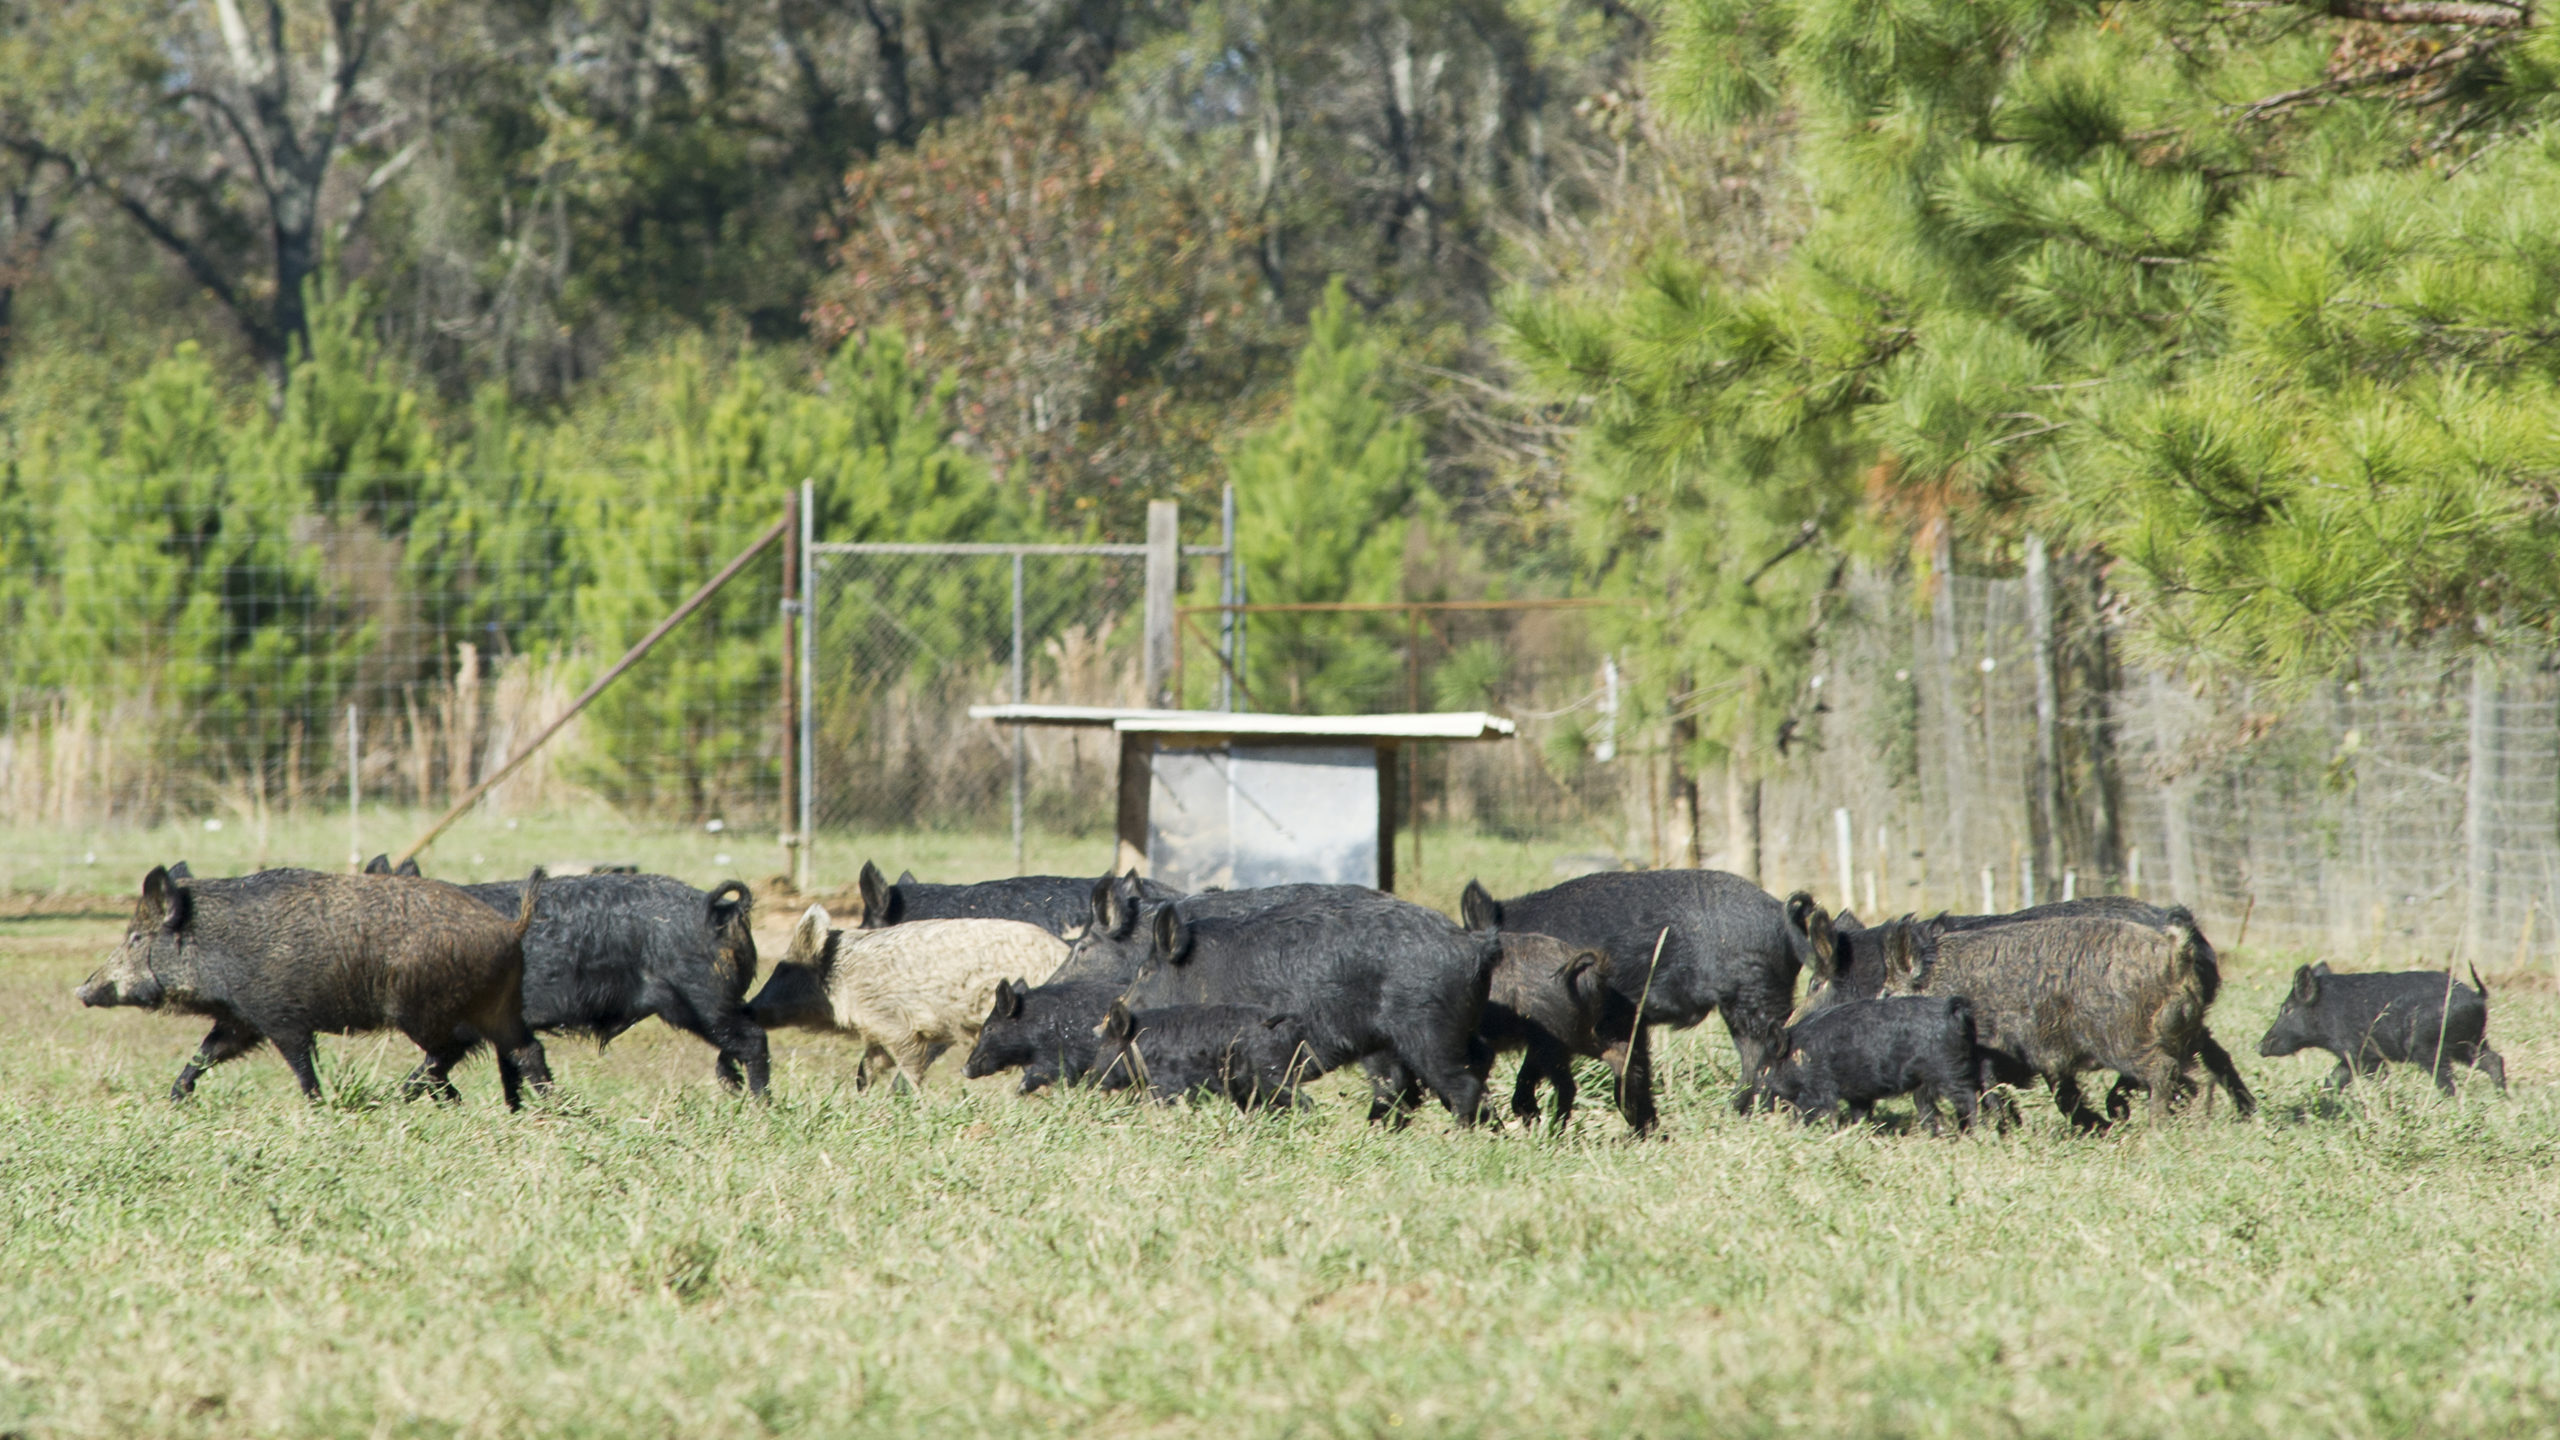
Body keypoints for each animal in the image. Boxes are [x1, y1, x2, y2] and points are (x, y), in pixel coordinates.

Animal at [75, 865, 555, 1109]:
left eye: (137, 937)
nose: (82, 991)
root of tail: (509, 928)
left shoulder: (282, 1018)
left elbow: (301, 1066)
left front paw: (316, 1105)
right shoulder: (242, 1019)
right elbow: (206, 1052)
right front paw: (176, 1098)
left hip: (422, 1010)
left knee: (456, 1049)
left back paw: (407, 1096)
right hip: (499, 1006)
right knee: (524, 1049)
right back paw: (549, 1107)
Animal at [744, 904, 1068, 1089]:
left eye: (783, 969)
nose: (747, 1008)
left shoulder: (894, 1024)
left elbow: (909, 1065)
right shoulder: (877, 1033)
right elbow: (868, 1066)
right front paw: (861, 1095)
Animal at [1122, 895, 1500, 1125]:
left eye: (1145, 972)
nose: (1112, 1016)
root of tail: (1475, 945)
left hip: (1429, 1030)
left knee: (1461, 1085)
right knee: (1404, 1088)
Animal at [1756, 994, 1981, 1132]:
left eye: (1764, 1070)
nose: (1759, 1105)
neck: (1799, 1056)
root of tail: (1956, 1012)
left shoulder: (1819, 1089)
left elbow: (1816, 1113)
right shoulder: (1858, 1095)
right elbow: (1860, 1116)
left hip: (1948, 1071)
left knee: (1968, 1098)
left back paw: (1972, 1133)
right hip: (1925, 1083)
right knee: (1928, 1109)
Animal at [2257, 962, 2506, 1094]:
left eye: (2286, 1009)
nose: (2258, 1046)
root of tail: (2477, 997)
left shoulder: (2363, 1054)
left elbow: (2374, 1079)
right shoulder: (2354, 1057)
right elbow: (2332, 1080)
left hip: (2428, 1046)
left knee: (2447, 1082)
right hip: (2470, 1042)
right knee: (2493, 1060)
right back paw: (2503, 1098)